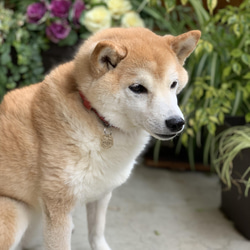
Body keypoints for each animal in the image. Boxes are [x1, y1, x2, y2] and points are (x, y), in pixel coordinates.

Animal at [0, 26, 200, 249]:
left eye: (173, 84)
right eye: (138, 88)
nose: (176, 122)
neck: (95, 117)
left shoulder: (102, 192)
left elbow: (97, 232)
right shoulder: (58, 205)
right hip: (15, 213)